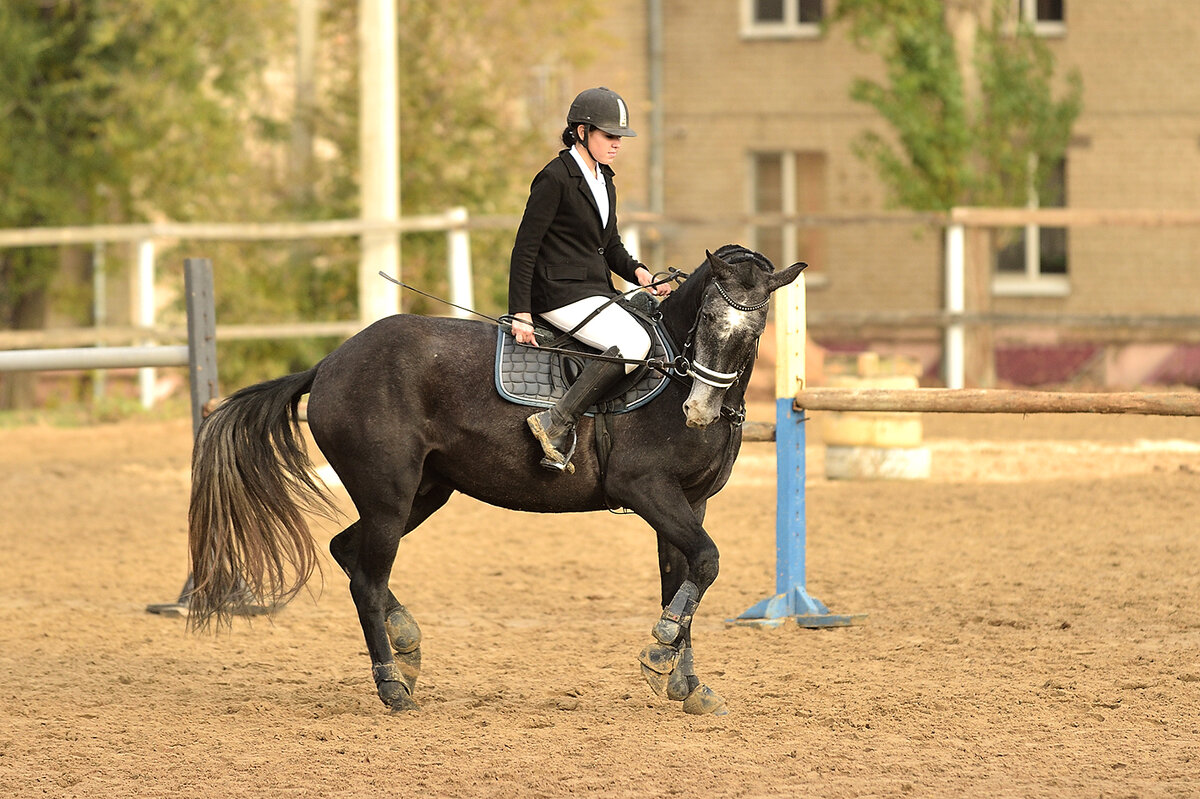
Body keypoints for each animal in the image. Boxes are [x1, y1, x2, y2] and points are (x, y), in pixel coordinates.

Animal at [187, 245, 806, 710]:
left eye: (756, 330)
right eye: (708, 319)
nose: (699, 410)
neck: (674, 371)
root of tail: (333, 361)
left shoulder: (687, 504)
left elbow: (683, 578)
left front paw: (684, 682)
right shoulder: (646, 490)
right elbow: (707, 561)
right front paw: (660, 657)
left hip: (425, 492)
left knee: (347, 550)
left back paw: (406, 644)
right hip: (389, 495)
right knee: (365, 577)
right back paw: (392, 686)